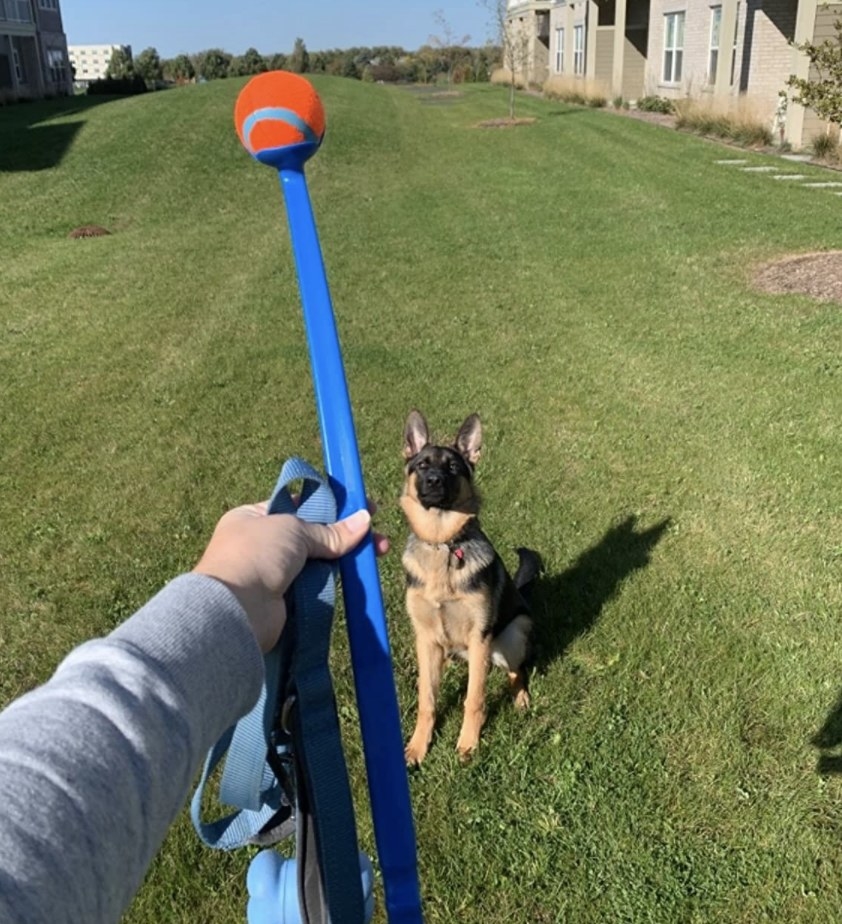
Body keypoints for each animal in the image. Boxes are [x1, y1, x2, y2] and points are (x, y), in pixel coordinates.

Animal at [398, 412, 540, 764]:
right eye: (422, 465)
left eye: (452, 467)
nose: (434, 481)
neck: (442, 544)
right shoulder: (425, 636)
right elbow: (427, 700)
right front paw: (418, 746)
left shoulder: (479, 638)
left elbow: (473, 698)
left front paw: (468, 743)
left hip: (511, 637)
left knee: (517, 672)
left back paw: (521, 699)